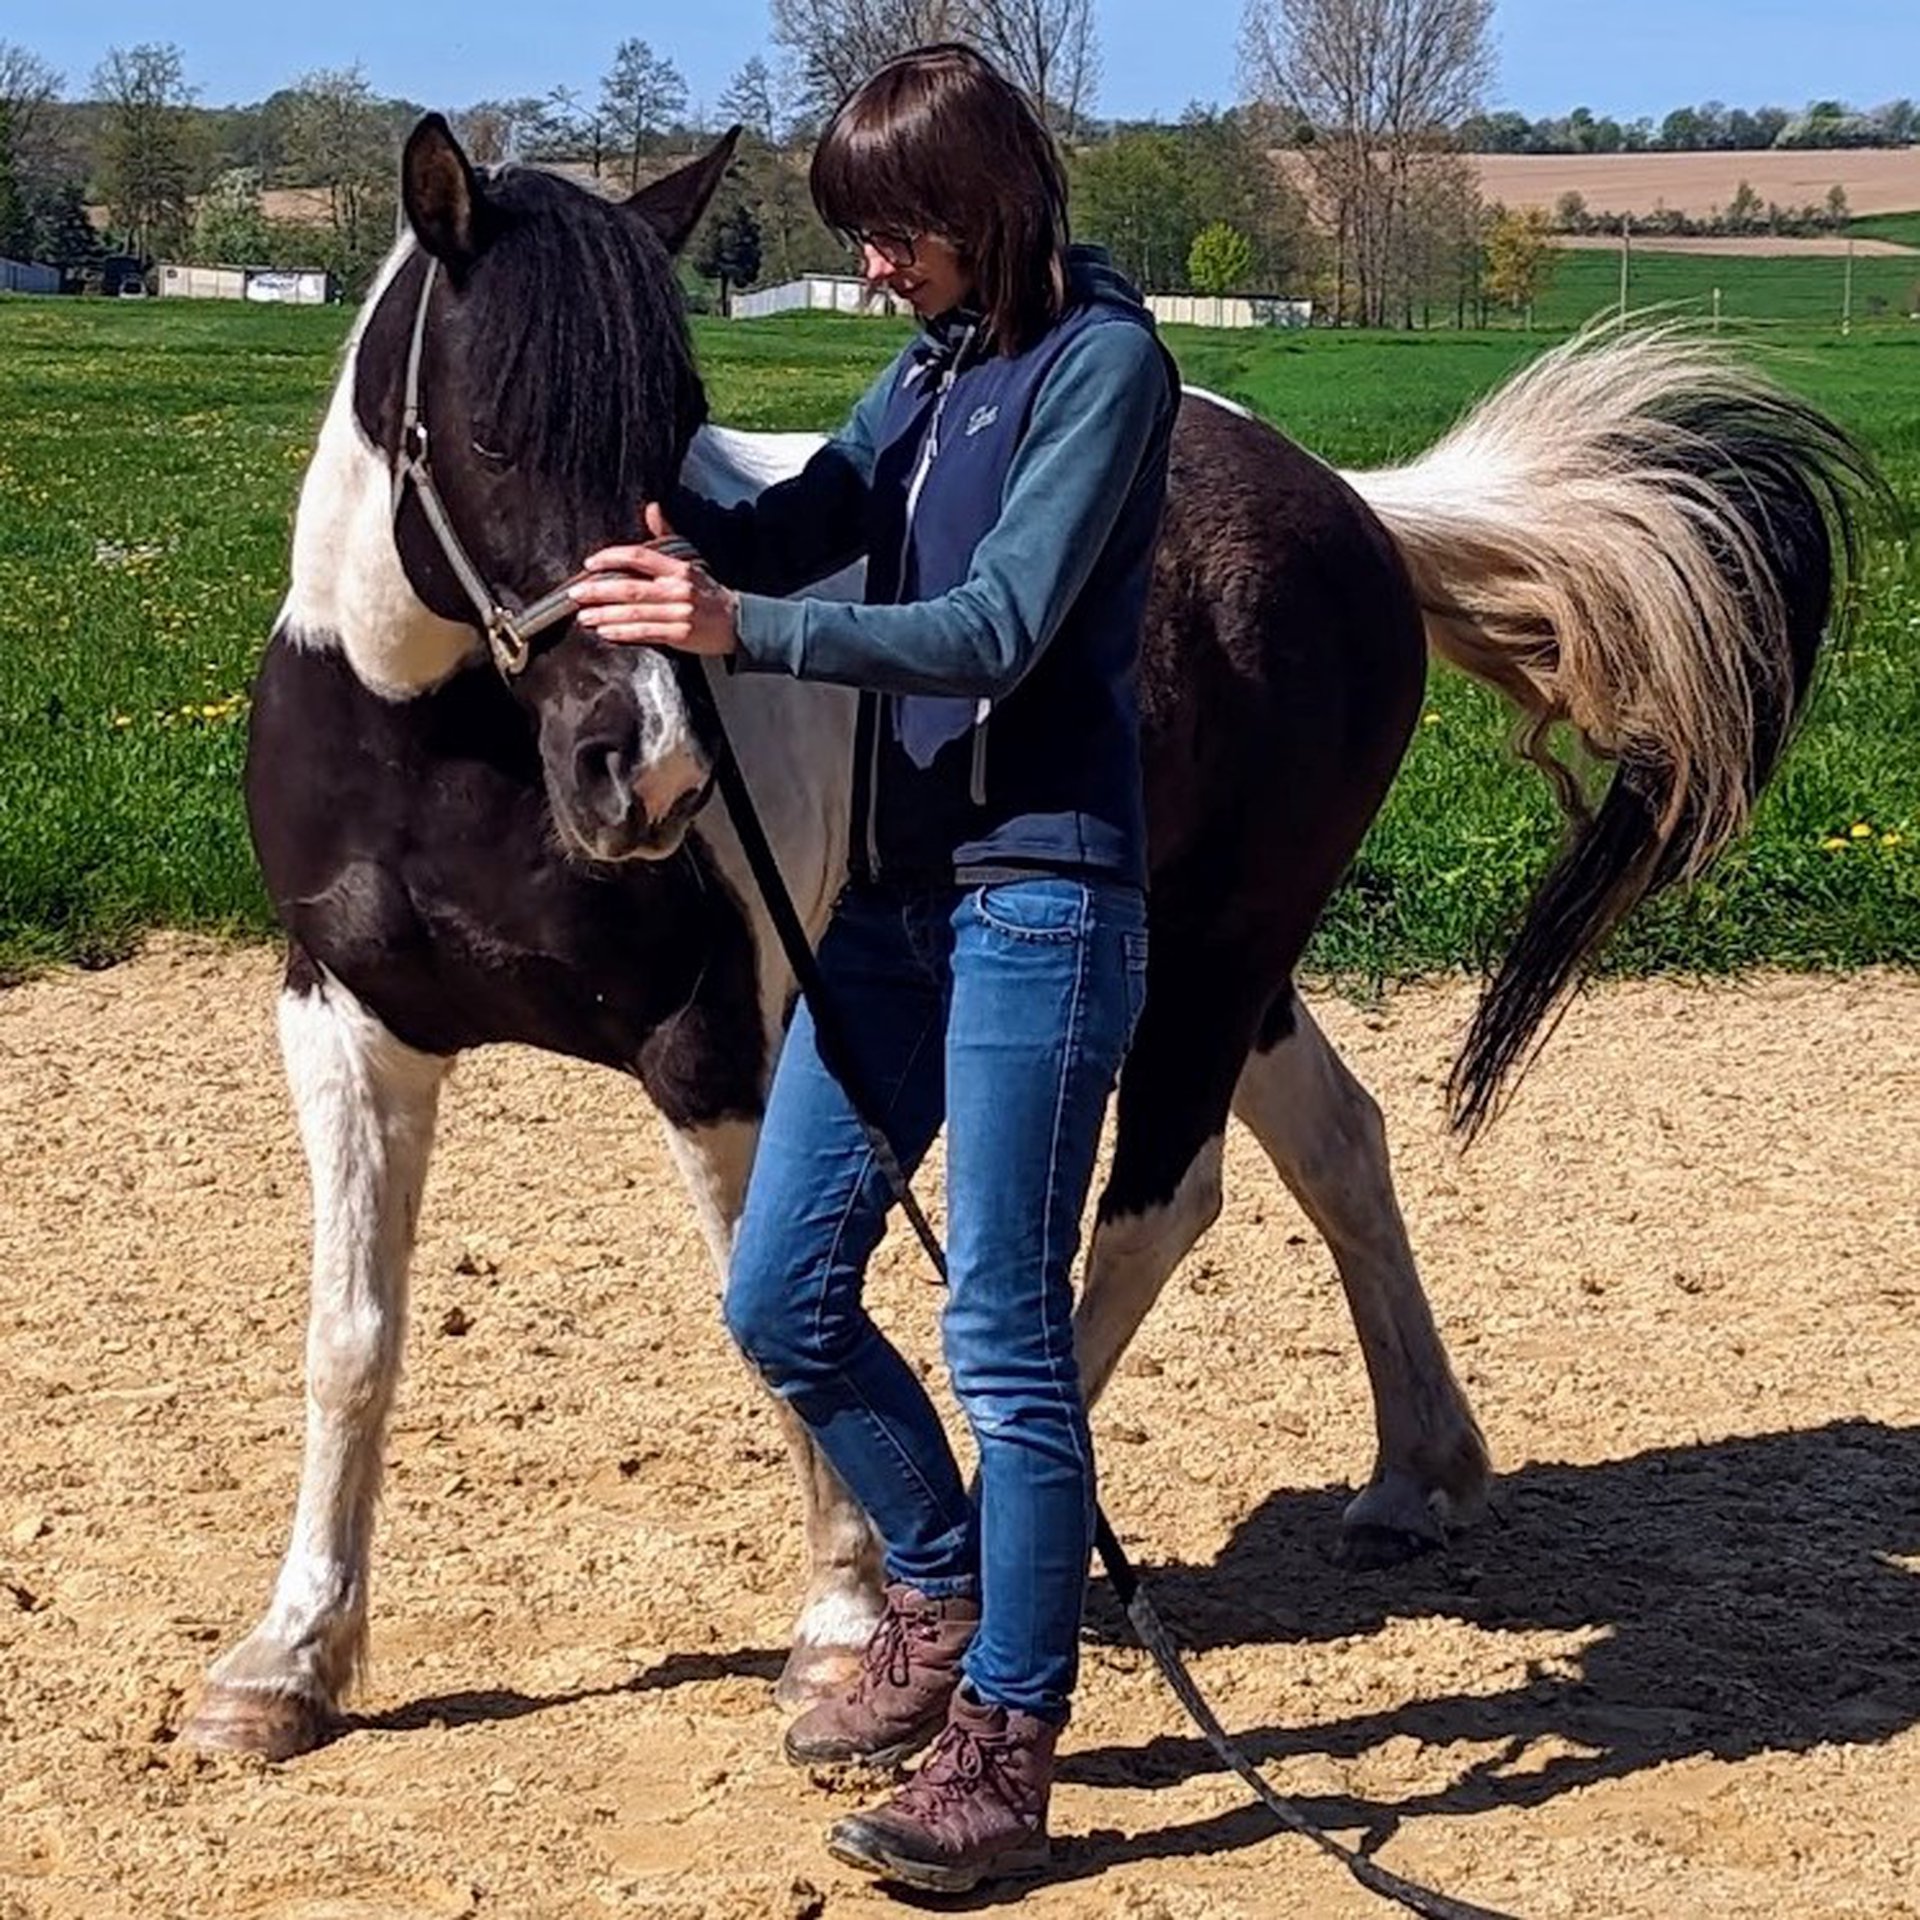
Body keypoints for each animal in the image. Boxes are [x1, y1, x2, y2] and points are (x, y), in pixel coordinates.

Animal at [182, 115, 1876, 1760]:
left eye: (672, 430)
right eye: (492, 431)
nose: (644, 767)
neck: (437, 745)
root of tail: (1352, 506)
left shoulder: (711, 1047)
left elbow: (773, 1328)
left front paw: (842, 1624)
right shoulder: (346, 1024)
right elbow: (353, 1339)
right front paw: (288, 1662)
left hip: (1206, 961)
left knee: (1155, 1207)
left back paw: (997, 1546)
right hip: (1222, 962)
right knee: (1338, 1142)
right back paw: (1420, 1474)